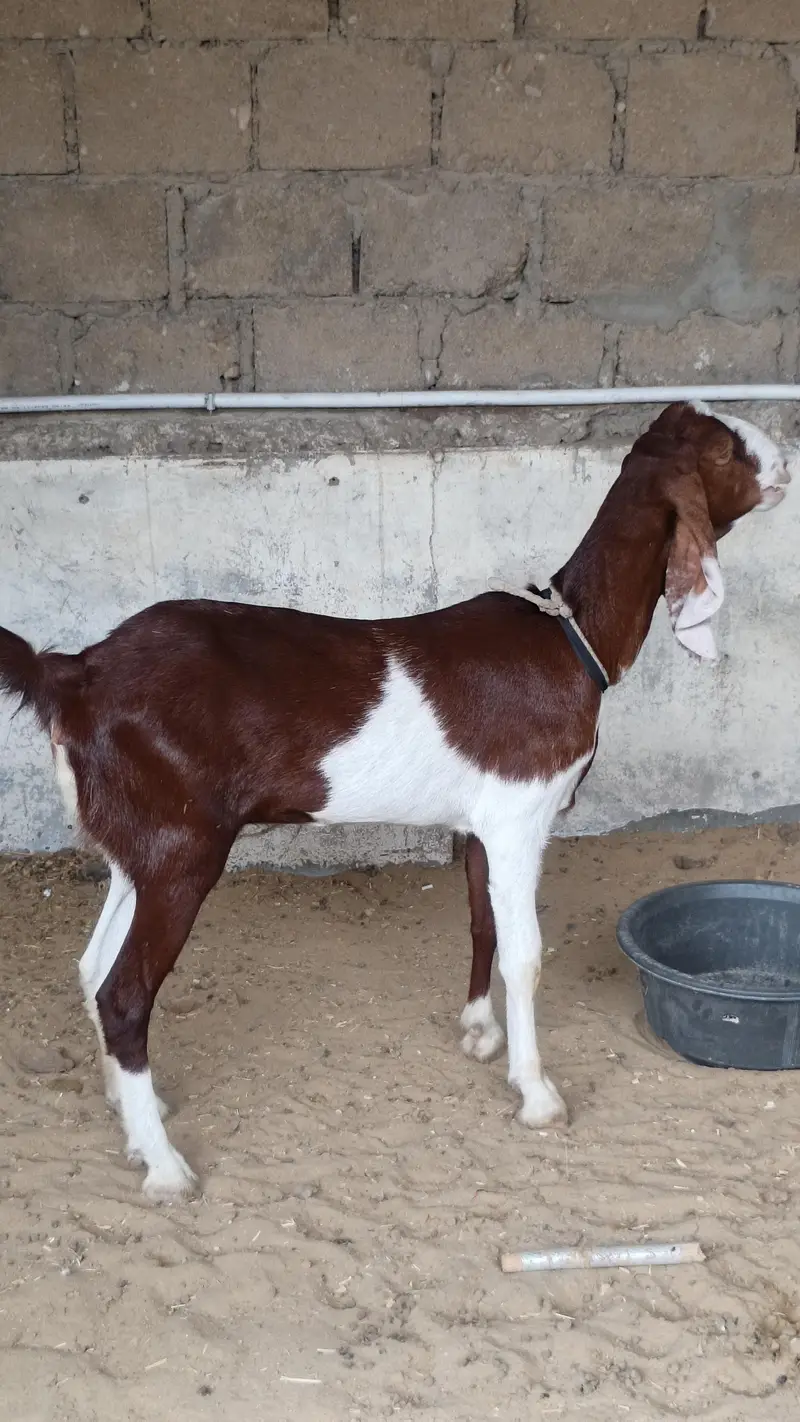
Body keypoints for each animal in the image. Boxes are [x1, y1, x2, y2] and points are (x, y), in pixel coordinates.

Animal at [0, 401, 790, 1199]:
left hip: (140, 841)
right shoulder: (521, 816)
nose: (785, 461)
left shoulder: (482, 821)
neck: (571, 637)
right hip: (183, 846)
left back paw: (135, 1118)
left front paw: (480, 1032)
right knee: (123, 992)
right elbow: (527, 955)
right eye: (725, 452)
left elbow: (481, 924)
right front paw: (537, 1094)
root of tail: (75, 673)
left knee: (92, 968)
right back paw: (165, 1165)